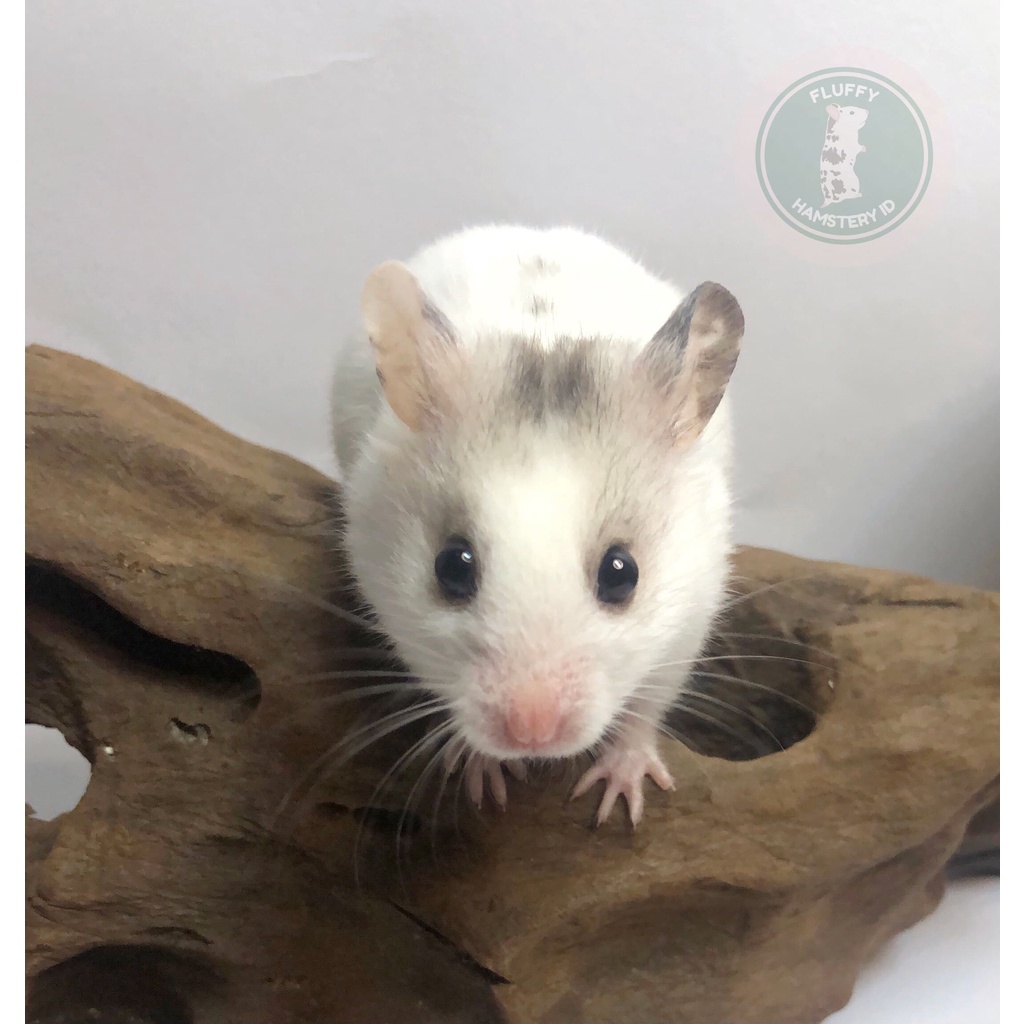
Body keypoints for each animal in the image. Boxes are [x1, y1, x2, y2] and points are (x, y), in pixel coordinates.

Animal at [331, 225, 744, 826]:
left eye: (622, 572)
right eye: (451, 566)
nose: (532, 735)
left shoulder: (688, 624)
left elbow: (645, 709)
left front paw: (617, 801)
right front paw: (486, 781)